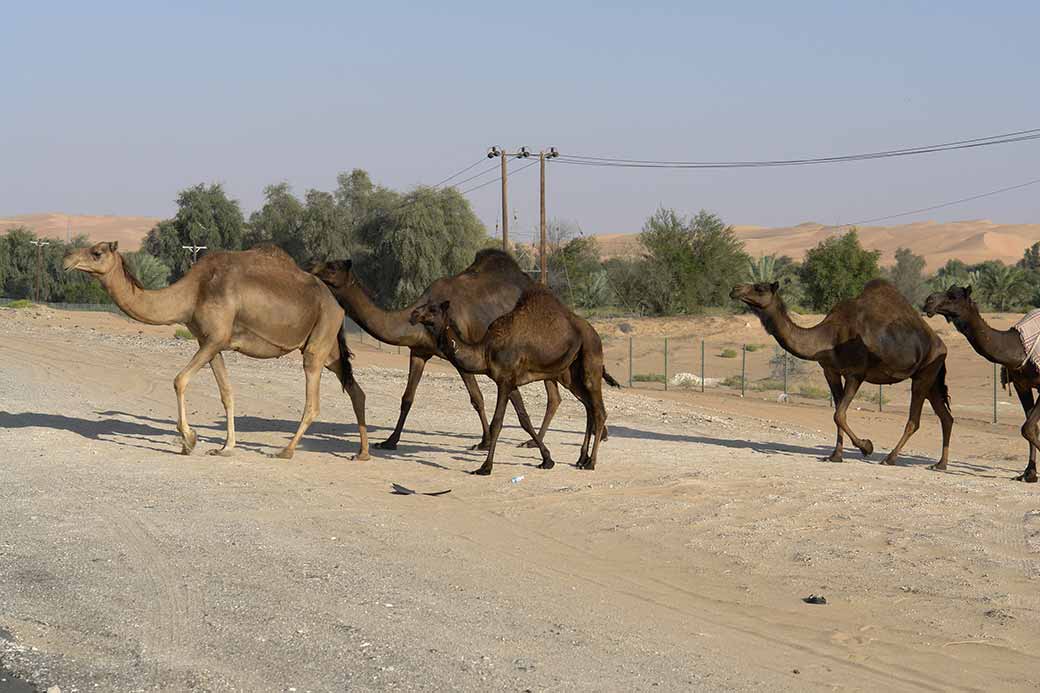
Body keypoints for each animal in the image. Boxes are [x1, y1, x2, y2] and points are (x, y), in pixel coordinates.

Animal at [61, 241, 370, 457]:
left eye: (97, 252)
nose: (66, 259)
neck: (191, 293)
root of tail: (336, 304)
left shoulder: (215, 338)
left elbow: (179, 380)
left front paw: (189, 441)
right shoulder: (209, 342)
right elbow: (226, 393)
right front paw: (225, 447)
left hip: (319, 339)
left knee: (313, 399)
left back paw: (286, 451)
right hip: (328, 345)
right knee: (355, 389)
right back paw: (363, 453)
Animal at [312, 250, 569, 451]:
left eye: (332, 267)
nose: (311, 269)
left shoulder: (460, 356)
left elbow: (477, 398)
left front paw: (484, 442)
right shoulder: (419, 352)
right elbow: (407, 398)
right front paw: (390, 441)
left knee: (552, 394)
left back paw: (534, 442)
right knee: (554, 396)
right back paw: (534, 441)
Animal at [409, 287, 611, 474]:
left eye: (433, 309)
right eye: (424, 305)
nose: (414, 314)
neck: (485, 350)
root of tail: (594, 333)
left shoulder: (505, 381)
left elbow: (497, 423)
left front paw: (485, 467)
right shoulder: (510, 382)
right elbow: (524, 419)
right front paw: (547, 460)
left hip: (591, 359)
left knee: (599, 410)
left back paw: (591, 463)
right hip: (570, 374)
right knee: (588, 406)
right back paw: (581, 459)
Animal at [728, 278, 952, 466]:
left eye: (759, 288)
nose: (735, 289)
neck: (827, 338)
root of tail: (941, 344)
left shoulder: (856, 373)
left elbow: (839, 415)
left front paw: (867, 447)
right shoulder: (831, 371)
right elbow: (837, 413)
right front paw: (835, 456)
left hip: (925, 372)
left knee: (914, 420)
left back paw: (890, 458)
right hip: (931, 378)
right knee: (946, 417)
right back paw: (940, 465)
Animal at [927, 283, 1031, 482]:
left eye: (953, 296)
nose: (928, 301)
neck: (1018, 348)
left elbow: (1029, 427)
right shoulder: (1022, 384)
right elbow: (1030, 425)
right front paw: (1029, 473)